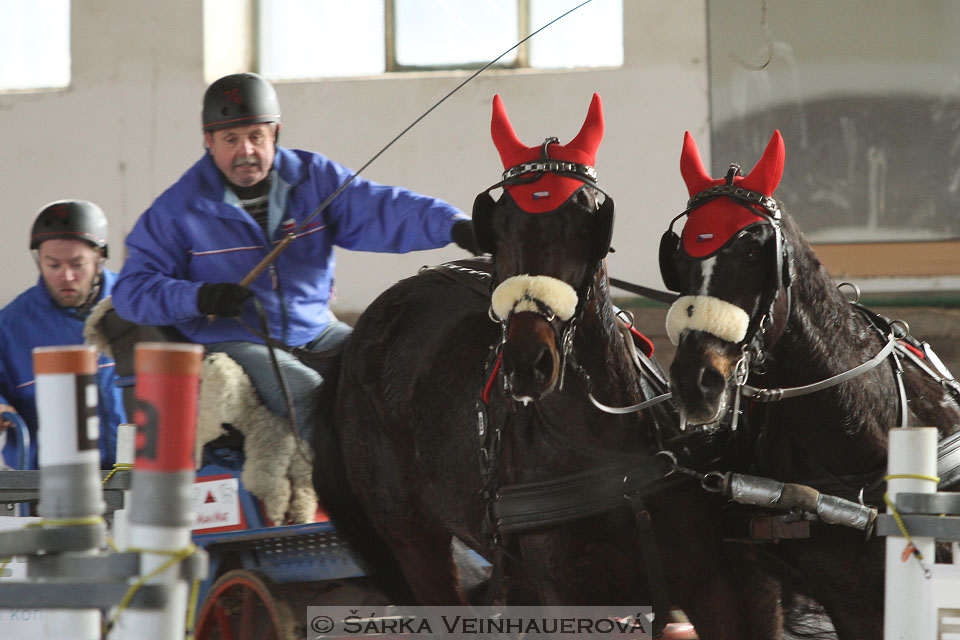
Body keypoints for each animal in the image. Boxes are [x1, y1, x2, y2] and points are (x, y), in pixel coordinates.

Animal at [312, 92, 784, 636]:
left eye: (586, 221)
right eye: (498, 227)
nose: (527, 361)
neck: (607, 454)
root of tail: (358, 339)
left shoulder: (710, 585)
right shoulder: (569, 597)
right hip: (413, 540)